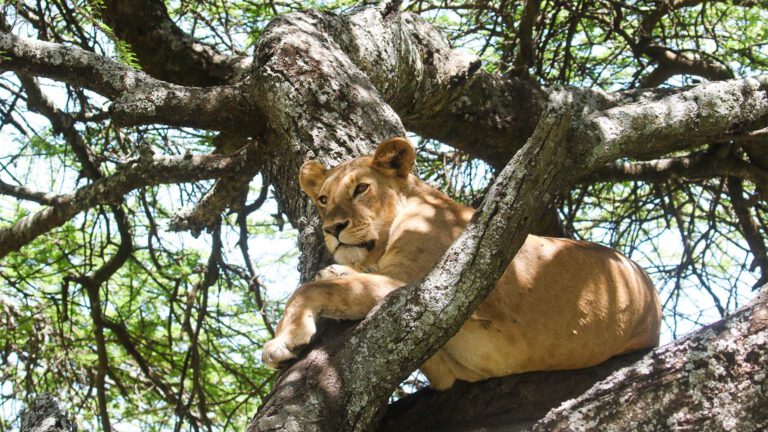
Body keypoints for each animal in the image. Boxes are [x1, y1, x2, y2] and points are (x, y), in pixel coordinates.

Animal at [262, 137, 662, 390]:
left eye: (361, 189)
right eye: (323, 199)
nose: (332, 228)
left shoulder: (423, 289)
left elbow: (310, 288)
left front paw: (284, 339)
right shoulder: (445, 371)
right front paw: (340, 269)